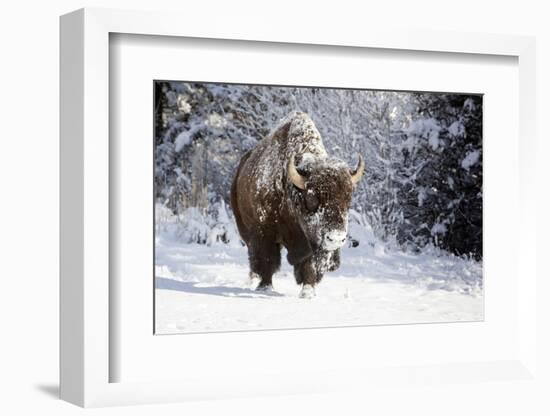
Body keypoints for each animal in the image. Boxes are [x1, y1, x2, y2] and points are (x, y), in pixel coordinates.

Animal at [231, 112, 364, 298]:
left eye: (348, 199)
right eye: (311, 198)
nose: (336, 238)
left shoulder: (310, 242)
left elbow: (309, 265)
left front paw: (308, 292)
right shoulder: (264, 233)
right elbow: (267, 260)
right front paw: (265, 288)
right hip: (245, 230)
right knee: (254, 258)